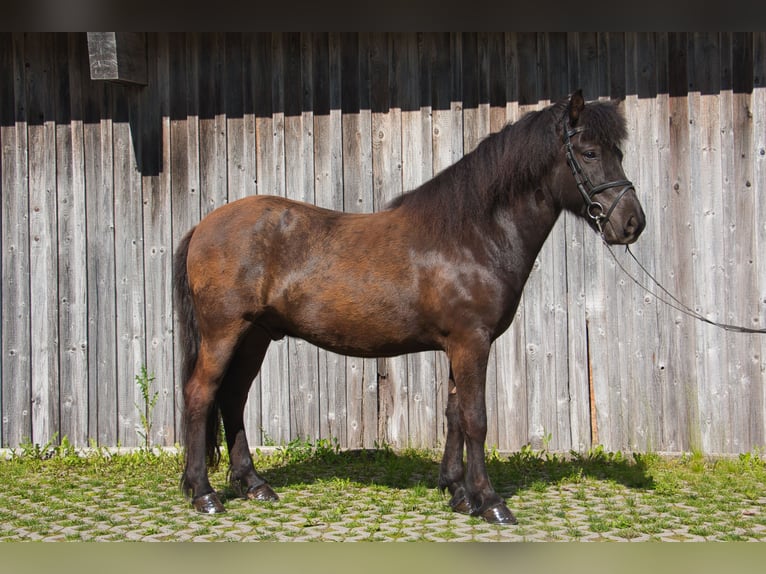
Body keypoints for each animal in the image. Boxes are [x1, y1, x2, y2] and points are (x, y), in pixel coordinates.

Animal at [176, 90, 648, 528]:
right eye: (589, 152)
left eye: (619, 153)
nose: (632, 223)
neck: (472, 235)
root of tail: (204, 225)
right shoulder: (472, 342)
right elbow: (476, 419)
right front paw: (491, 502)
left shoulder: (459, 345)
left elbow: (454, 415)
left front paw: (459, 493)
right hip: (224, 332)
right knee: (201, 395)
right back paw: (204, 493)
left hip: (255, 336)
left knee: (233, 398)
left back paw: (254, 485)